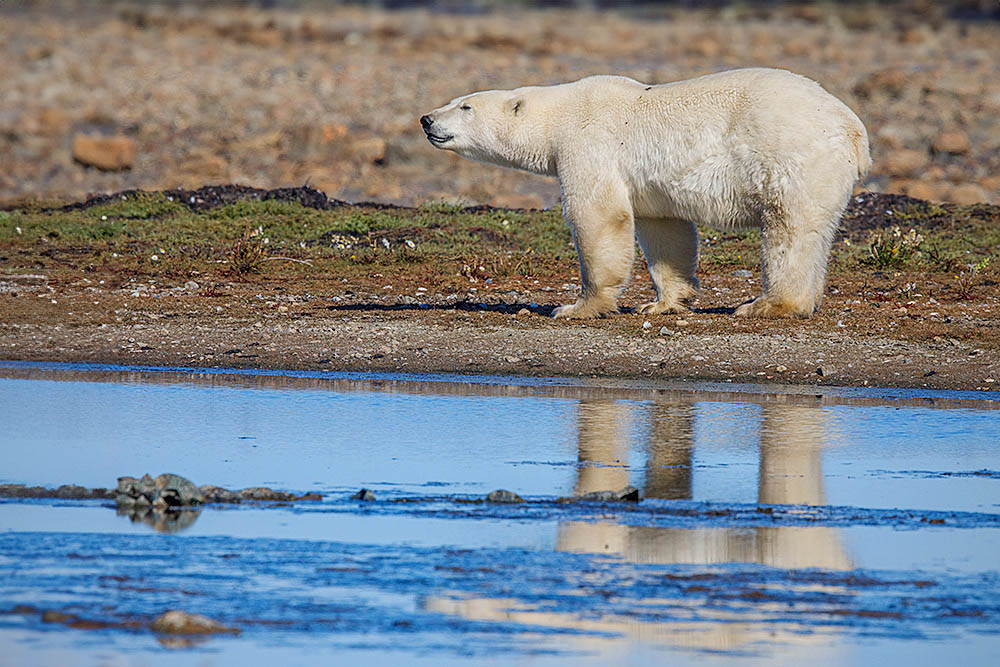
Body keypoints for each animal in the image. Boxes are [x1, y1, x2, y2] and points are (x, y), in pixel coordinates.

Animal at [420, 69, 868, 320]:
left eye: (465, 107)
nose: (426, 119)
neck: (561, 112)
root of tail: (853, 128)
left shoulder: (588, 143)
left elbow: (598, 215)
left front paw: (576, 307)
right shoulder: (648, 182)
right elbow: (664, 228)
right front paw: (664, 303)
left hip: (789, 155)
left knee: (788, 229)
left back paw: (767, 305)